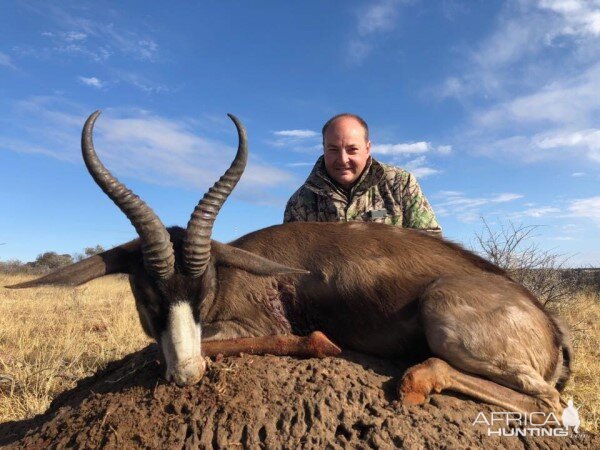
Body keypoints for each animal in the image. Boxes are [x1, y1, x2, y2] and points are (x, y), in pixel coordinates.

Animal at [8, 110, 572, 416]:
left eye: (203, 292)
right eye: (147, 297)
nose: (186, 376)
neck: (235, 273)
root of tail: (549, 326)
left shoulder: (248, 326)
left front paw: (319, 341)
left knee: (549, 404)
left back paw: (416, 381)